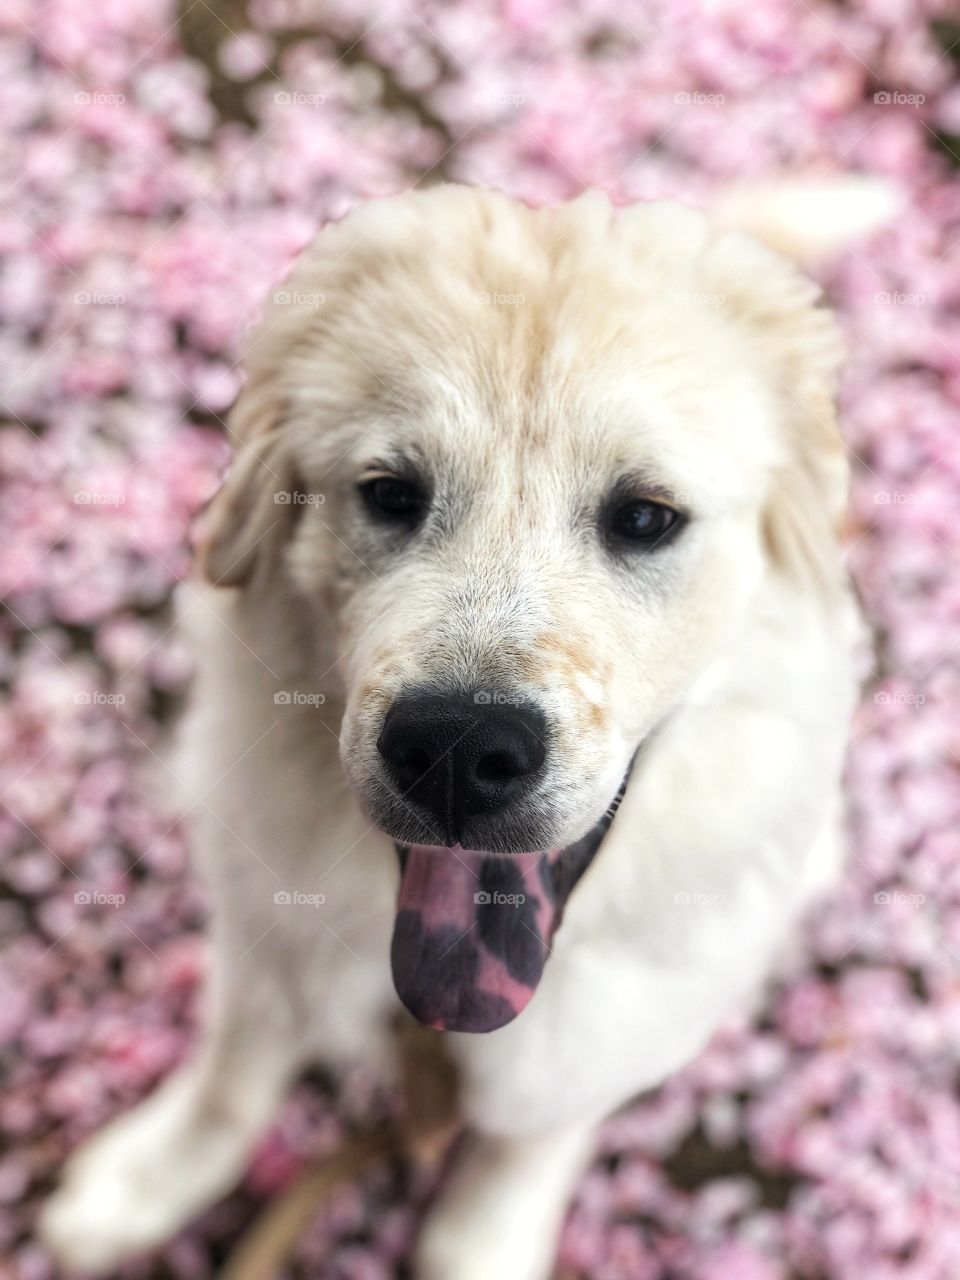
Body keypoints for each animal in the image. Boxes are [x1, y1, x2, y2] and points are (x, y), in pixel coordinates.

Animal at [45, 183, 885, 1280]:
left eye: (645, 517)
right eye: (391, 494)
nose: (456, 750)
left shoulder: (610, 1030)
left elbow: (533, 1136)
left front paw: (483, 1235)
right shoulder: (266, 940)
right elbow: (232, 1078)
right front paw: (145, 1182)